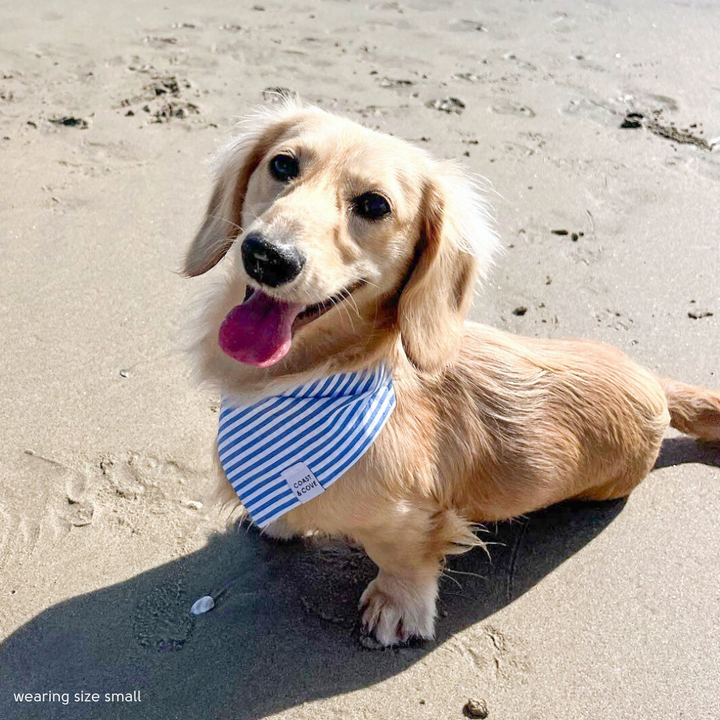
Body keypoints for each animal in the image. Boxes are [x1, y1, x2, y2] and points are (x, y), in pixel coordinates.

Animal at [183, 100, 720, 648]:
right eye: (283, 165)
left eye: (374, 205)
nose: (266, 256)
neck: (307, 379)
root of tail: (655, 383)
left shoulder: (410, 518)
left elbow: (405, 558)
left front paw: (395, 606)